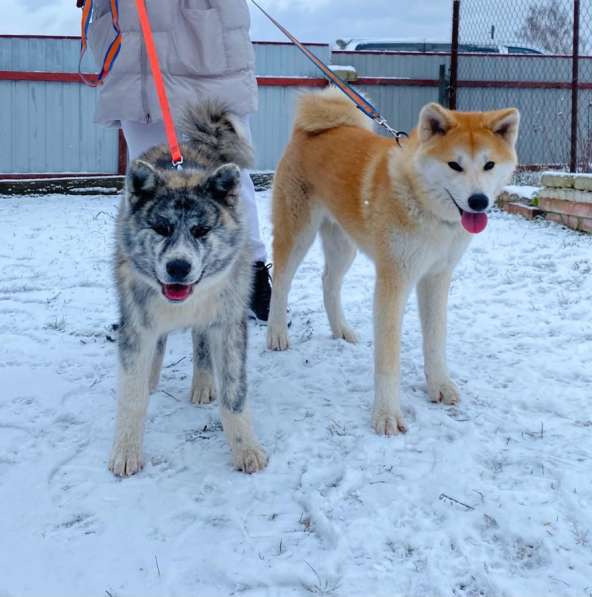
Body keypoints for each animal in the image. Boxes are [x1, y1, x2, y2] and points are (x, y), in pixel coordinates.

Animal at [108, 101, 268, 474]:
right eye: (161, 227)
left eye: (200, 230)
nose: (178, 268)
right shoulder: (137, 324)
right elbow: (132, 394)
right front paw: (126, 451)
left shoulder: (228, 324)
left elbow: (234, 395)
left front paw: (246, 449)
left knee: (200, 341)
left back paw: (203, 383)